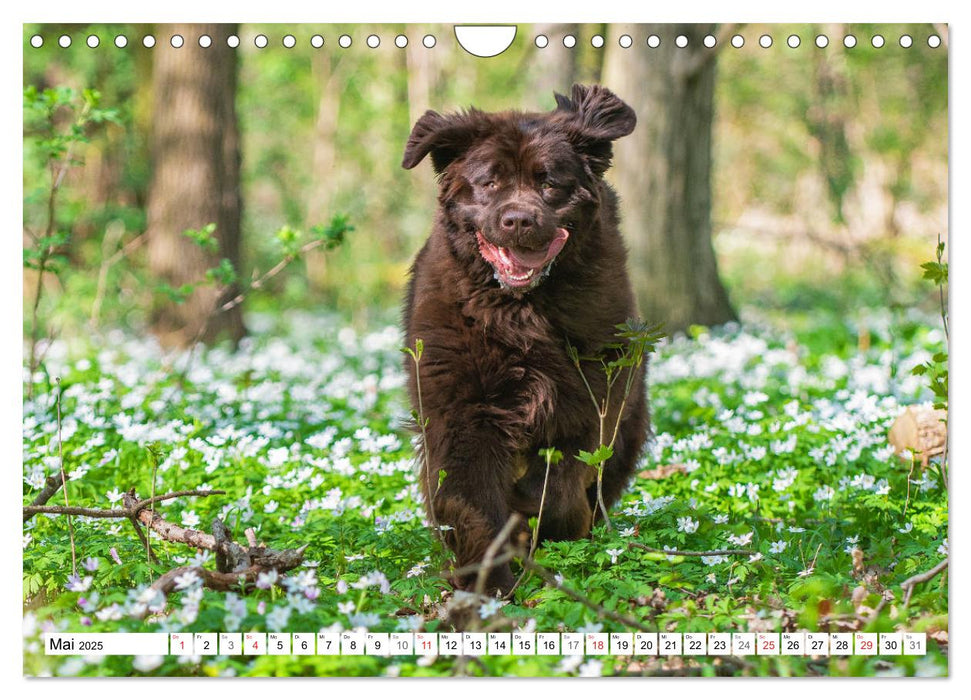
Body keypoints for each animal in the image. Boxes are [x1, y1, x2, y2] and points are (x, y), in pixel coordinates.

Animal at [398, 85, 648, 592]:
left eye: (550, 182)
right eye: (489, 182)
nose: (518, 220)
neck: (520, 310)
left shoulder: (591, 394)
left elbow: (560, 483)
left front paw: (545, 524)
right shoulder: (459, 407)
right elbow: (469, 499)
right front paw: (487, 582)